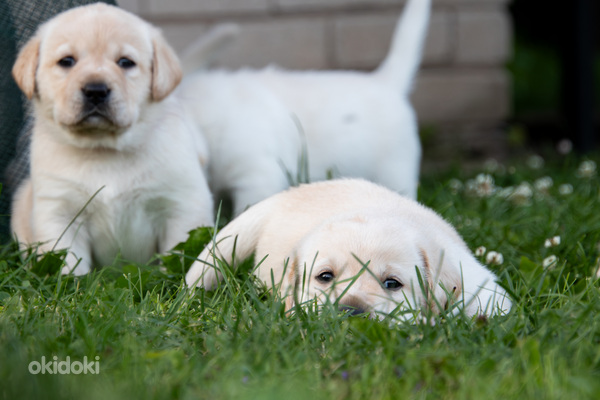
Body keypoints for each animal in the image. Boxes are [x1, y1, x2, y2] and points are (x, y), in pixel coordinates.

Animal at [9, 3, 213, 276]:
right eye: (67, 61)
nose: (95, 91)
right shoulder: (58, 212)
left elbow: (179, 256)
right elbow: (66, 265)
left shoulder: (182, 204)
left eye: (125, 62)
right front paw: (71, 282)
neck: (103, 149)